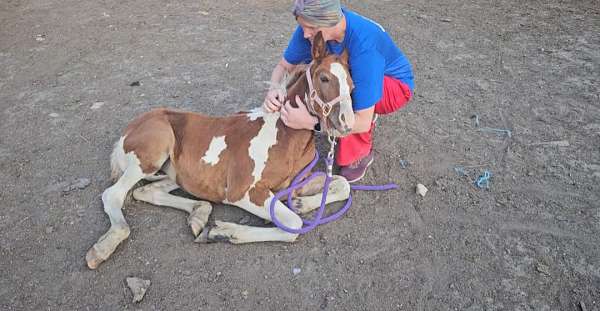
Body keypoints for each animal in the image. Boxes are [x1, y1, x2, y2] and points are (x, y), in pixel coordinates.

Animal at [85, 32, 356, 270]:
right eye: (324, 78)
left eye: (352, 86)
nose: (346, 124)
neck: (283, 134)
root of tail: (127, 131)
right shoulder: (243, 192)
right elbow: (293, 225)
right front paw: (224, 231)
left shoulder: (294, 183)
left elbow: (342, 185)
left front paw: (300, 203)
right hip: (153, 153)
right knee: (113, 195)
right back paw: (104, 247)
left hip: (175, 172)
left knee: (148, 191)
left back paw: (199, 214)